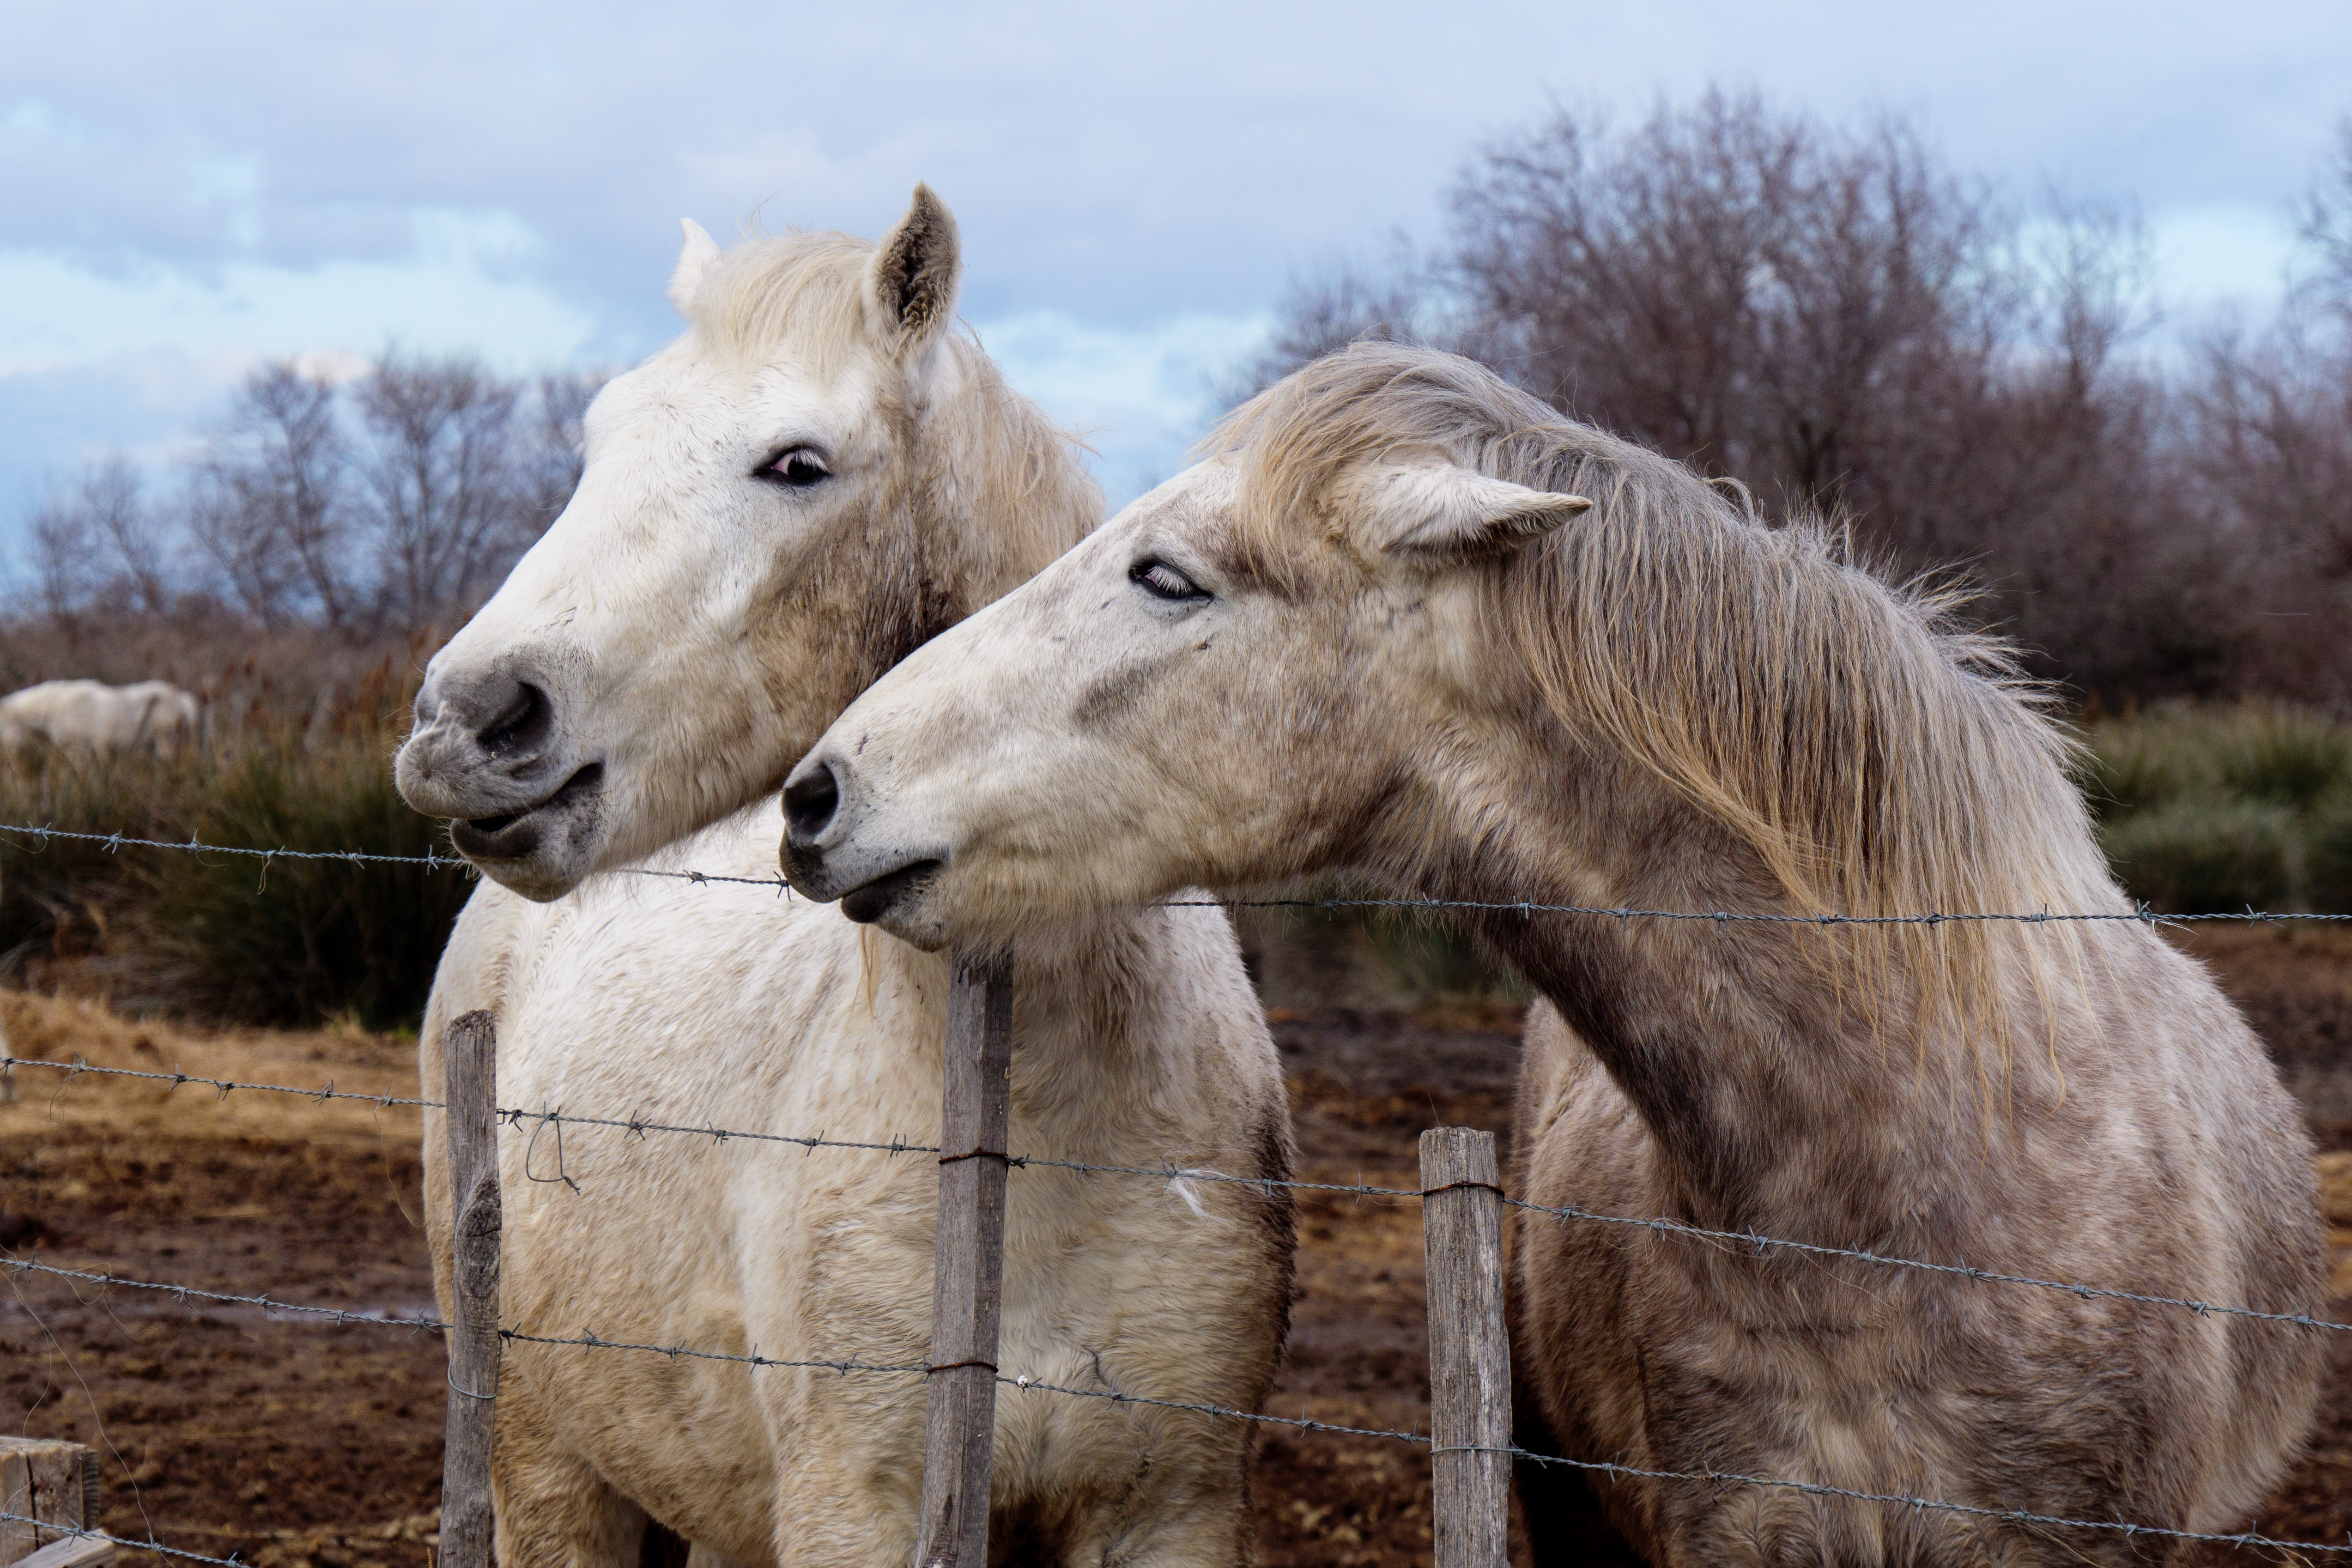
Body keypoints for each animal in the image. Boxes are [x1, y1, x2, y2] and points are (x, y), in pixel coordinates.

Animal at [398, 190, 1294, 1568]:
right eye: (598, 439)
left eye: (796, 465)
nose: (469, 720)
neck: (1048, 1131)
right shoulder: (849, 1504)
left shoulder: (1173, 1510)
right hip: (550, 1475)